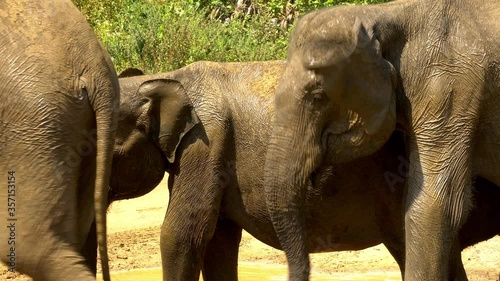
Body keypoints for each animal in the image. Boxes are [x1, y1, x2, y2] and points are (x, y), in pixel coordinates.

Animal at [110, 60, 500, 280]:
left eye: (111, 153)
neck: (168, 78)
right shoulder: (211, 158)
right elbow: (219, 239)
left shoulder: (204, 145)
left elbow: (181, 235)